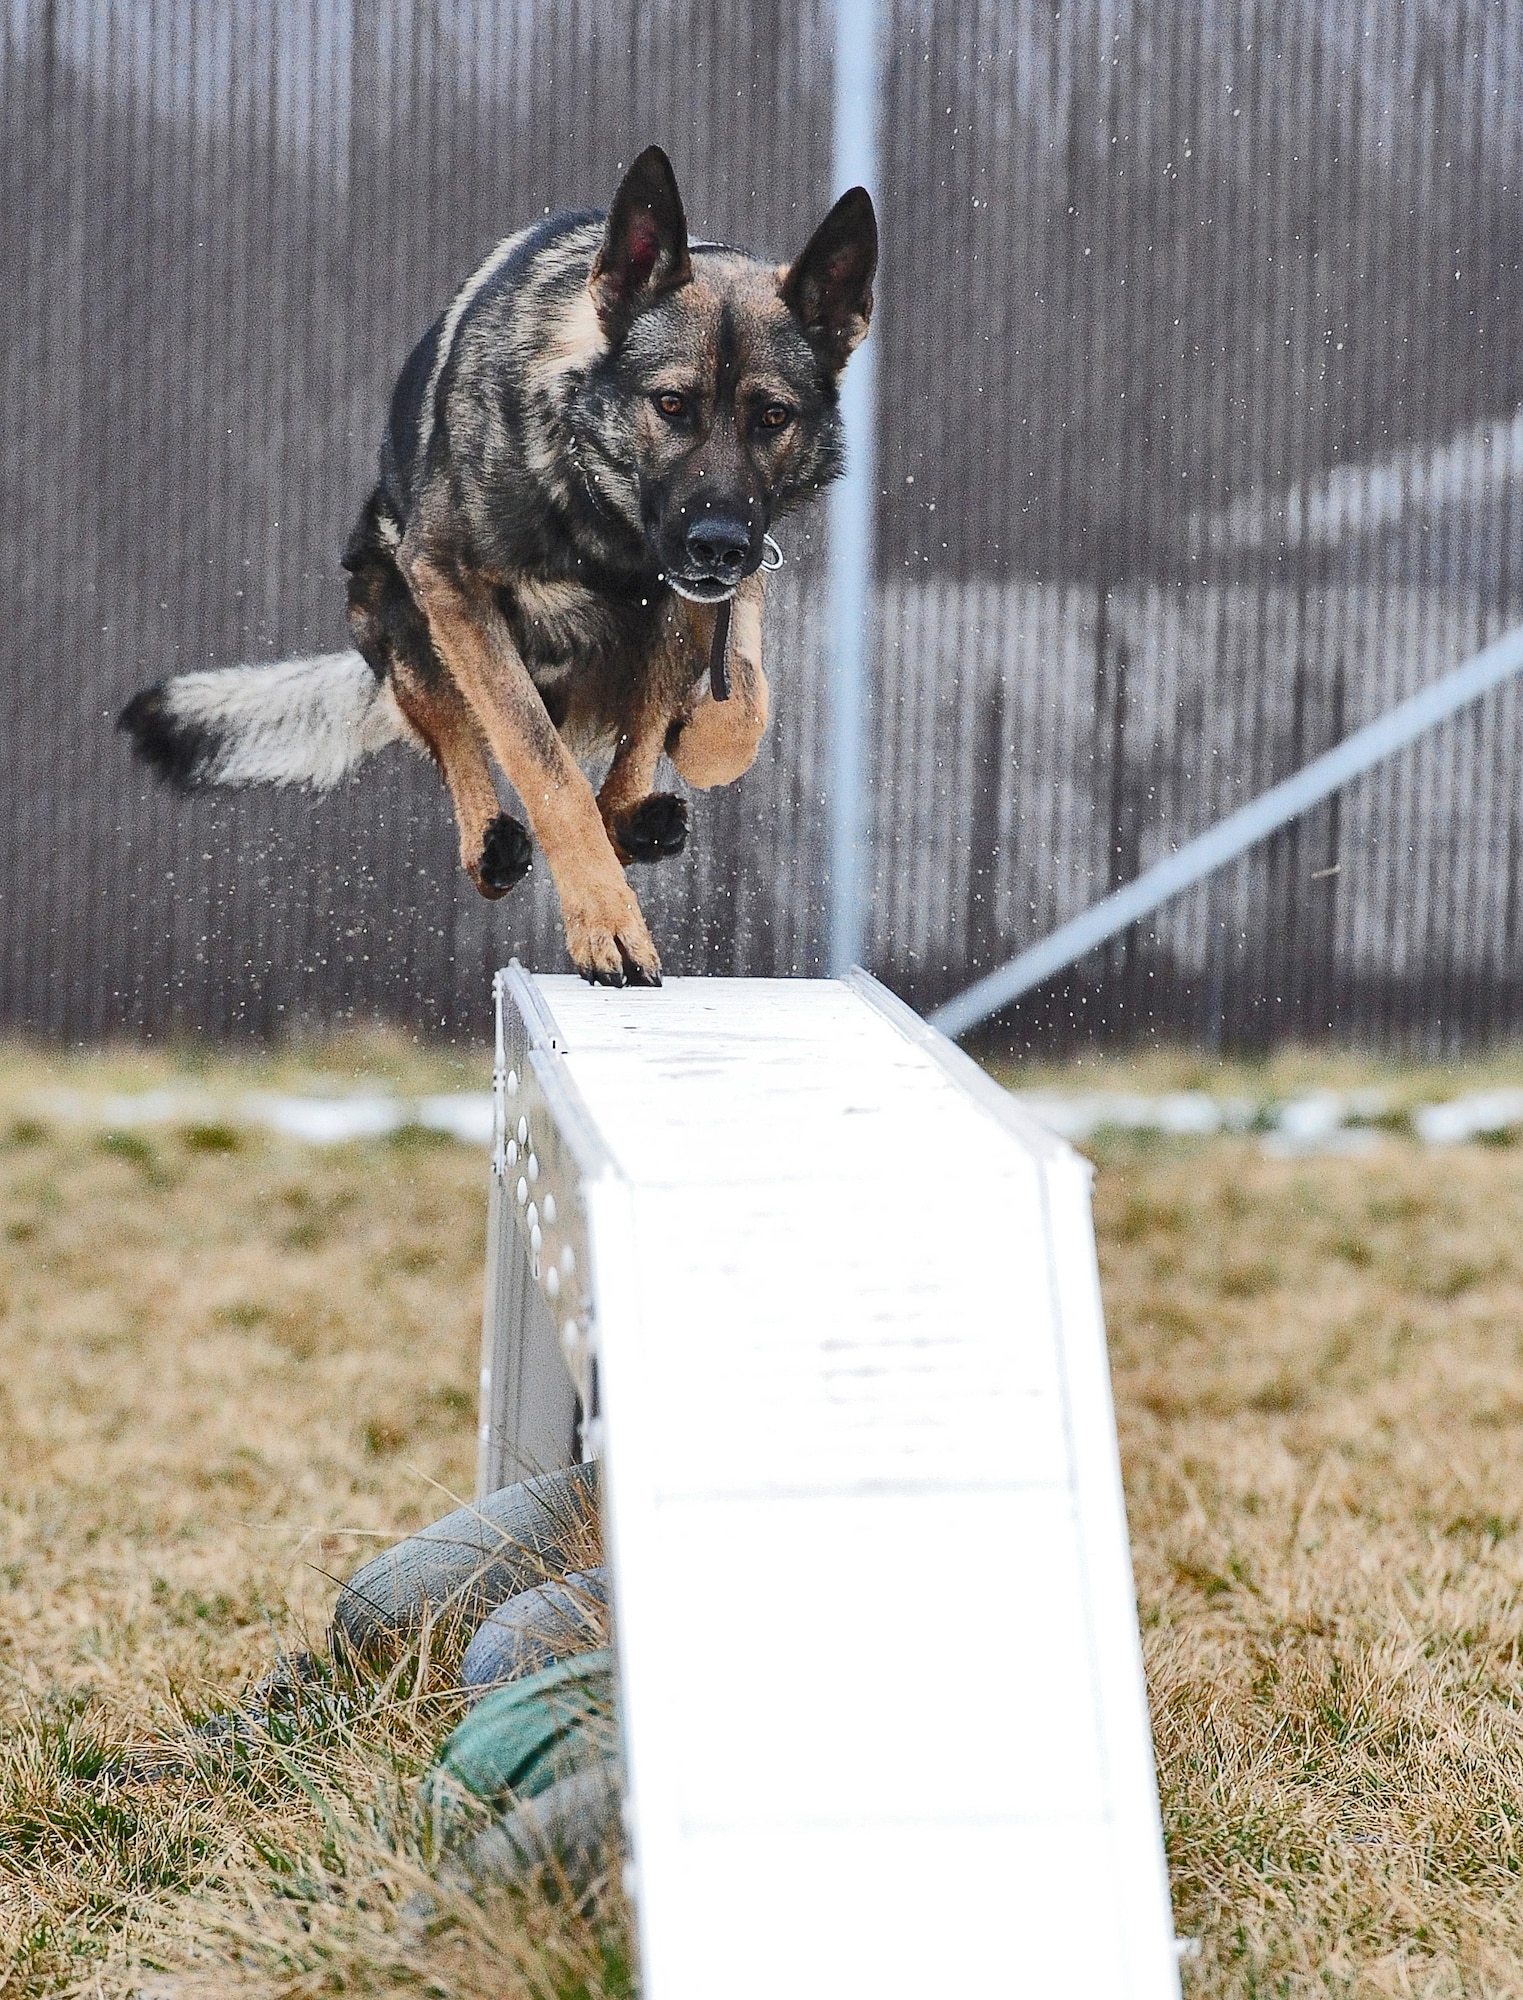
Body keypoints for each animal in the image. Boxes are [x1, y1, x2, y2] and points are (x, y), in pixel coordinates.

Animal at [117, 145, 871, 988]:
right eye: (672, 405)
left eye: (771, 417)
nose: (717, 545)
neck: (595, 511)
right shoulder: (451, 587)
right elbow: (542, 767)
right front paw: (605, 922)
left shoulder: (709, 594)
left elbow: (730, 708)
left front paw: (690, 746)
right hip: (394, 602)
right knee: (457, 737)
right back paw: (493, 842)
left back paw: (637, 818)